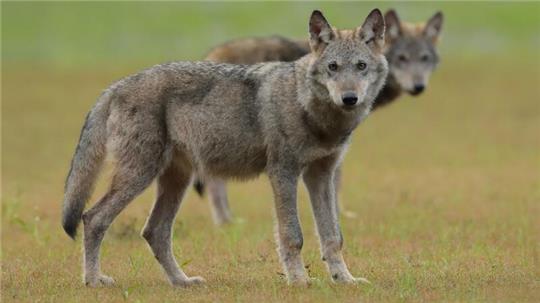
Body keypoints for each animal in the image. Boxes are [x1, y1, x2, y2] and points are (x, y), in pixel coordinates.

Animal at [61, 7, 388, 288]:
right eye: (333, 67)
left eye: (361, 67)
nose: (349, 98)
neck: (311, 110)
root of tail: (114, 87)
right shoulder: (283, 173)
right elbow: (292, 235)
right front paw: (299, 281)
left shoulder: (321, 176)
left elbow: (333, 236)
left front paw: (344, 280)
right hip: (140, 176)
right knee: (93, 218)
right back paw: (93, 280)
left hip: (175, 181)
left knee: (154, 232)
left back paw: (182, 282)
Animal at [197, 8, 442, 226]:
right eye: (402, 58)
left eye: (424, 58)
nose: (418, 87)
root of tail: (211, 54)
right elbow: (337, 180)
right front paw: (340, 214)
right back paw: (225, 221)